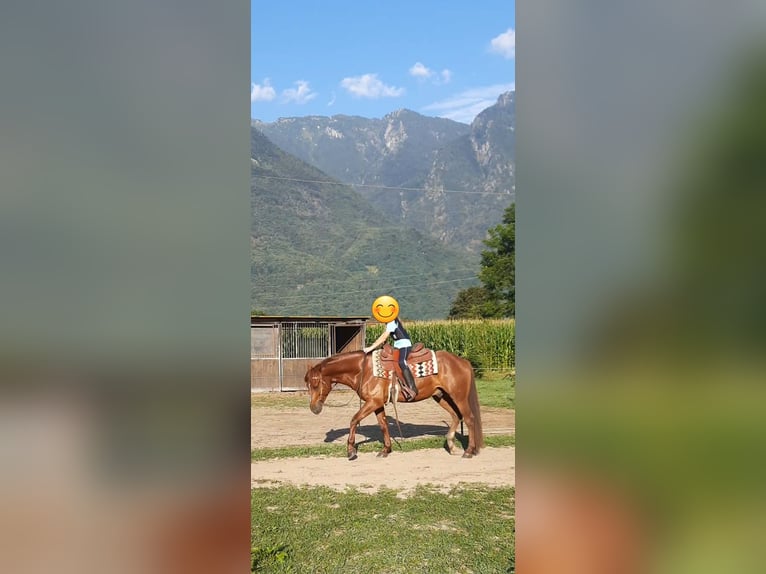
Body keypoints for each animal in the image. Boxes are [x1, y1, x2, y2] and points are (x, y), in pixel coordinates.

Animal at [304, 348, 484, 462]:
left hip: (459, 397)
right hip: (441, 397)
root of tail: (463, 361)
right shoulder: (377, 404)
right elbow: (383, 425)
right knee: (456, 416)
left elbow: (354, 420)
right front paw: (385, 450)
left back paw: (469, 451)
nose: (314, 408)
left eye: (316, 383)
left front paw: (351, 451)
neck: (363, 370)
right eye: (308, 384)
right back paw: (452, 446)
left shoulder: (373, 402)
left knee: (469, 418)